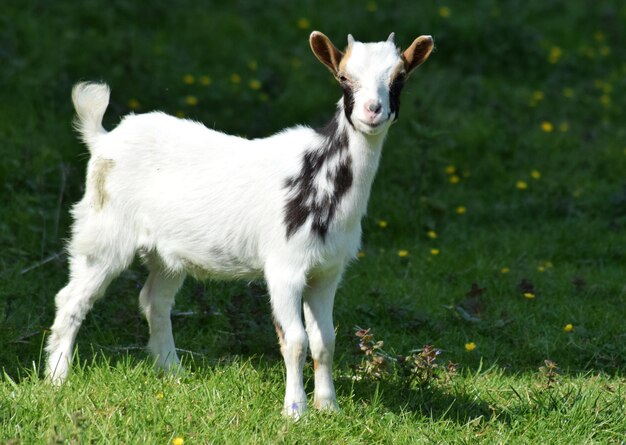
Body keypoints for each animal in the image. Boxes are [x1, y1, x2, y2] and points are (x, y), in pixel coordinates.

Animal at [46, 31, 432, 416]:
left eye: (400, 77)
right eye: (343, 77)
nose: (372, 110)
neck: (321, 173)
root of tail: (103, 138)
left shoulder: (327, 271)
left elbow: (325, 341)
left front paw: (328, 407)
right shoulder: (284, 268)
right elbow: (295, 340)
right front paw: (295, 410)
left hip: (167, 253)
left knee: (155, 301)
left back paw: (172, 371)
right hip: (104, 231)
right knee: (71, 298)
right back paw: (57, 377)